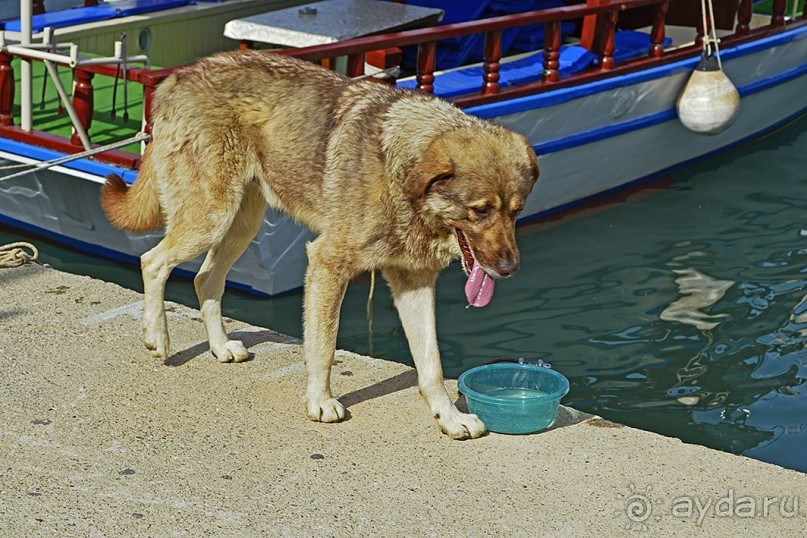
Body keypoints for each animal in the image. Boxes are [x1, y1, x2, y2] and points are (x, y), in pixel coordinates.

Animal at [104, 50, 540, 438]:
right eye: (480, 210)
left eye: (516, 211)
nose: (510, 269)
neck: (399, 172)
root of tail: (180, 76)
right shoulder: (328, 264)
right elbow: (324, 347)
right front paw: (320, 401)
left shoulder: (413, 283)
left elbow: (431, 364)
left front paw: (448, 417)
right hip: (208, 219)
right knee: (153, 261)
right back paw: (158, 337)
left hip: (240, 224)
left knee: (205, 279)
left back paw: (220, 345)